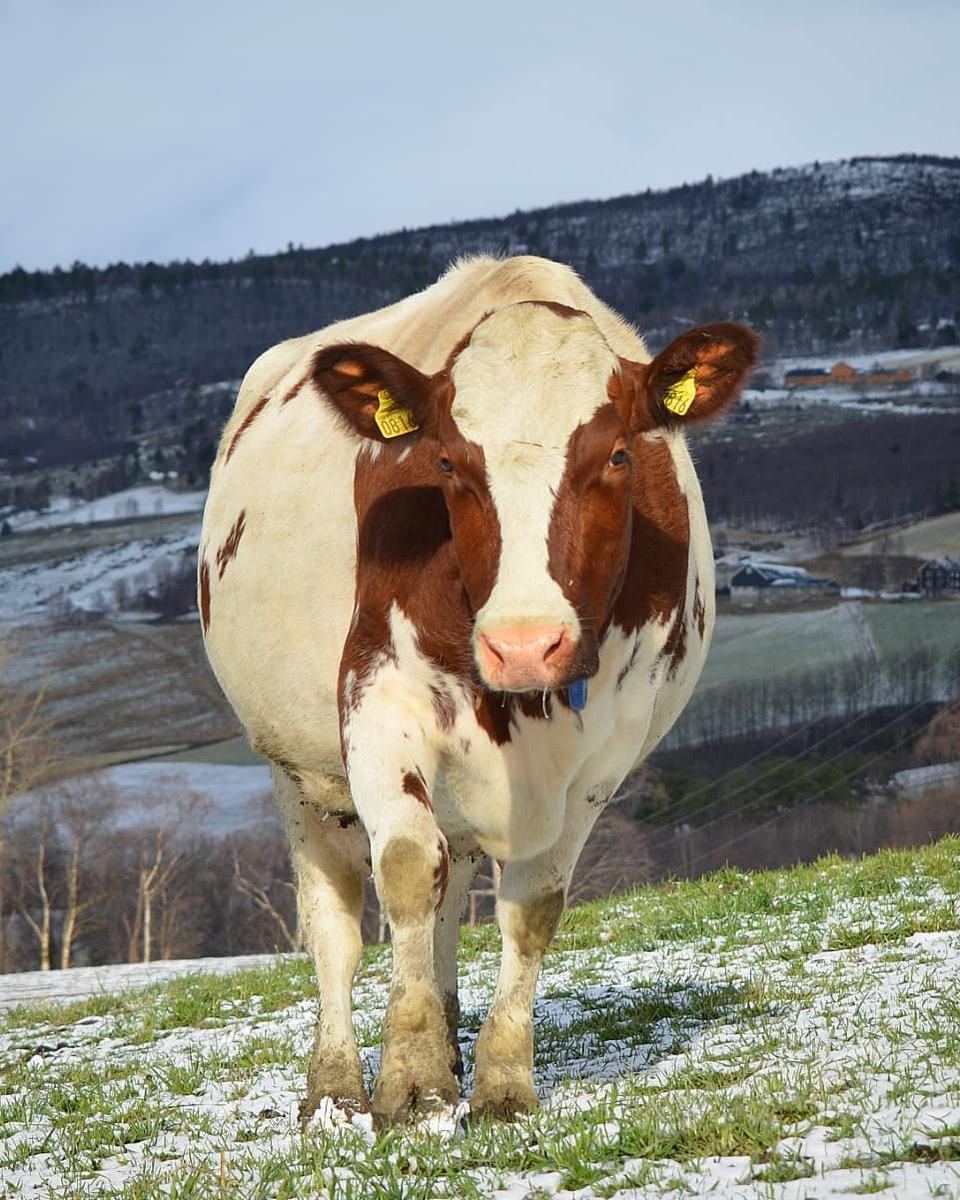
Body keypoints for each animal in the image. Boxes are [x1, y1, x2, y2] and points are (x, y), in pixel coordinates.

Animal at [199, 255, 757, 1125]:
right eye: (448, 462)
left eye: (618, 455)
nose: (524, 645)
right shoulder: (377, 700)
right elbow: (401, 869)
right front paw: (414, 1082)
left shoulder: (605, 755)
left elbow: (530, 909)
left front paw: (499, 1080)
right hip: (293, 768)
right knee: (336, 921)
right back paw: (335, 1089)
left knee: (449, 893)